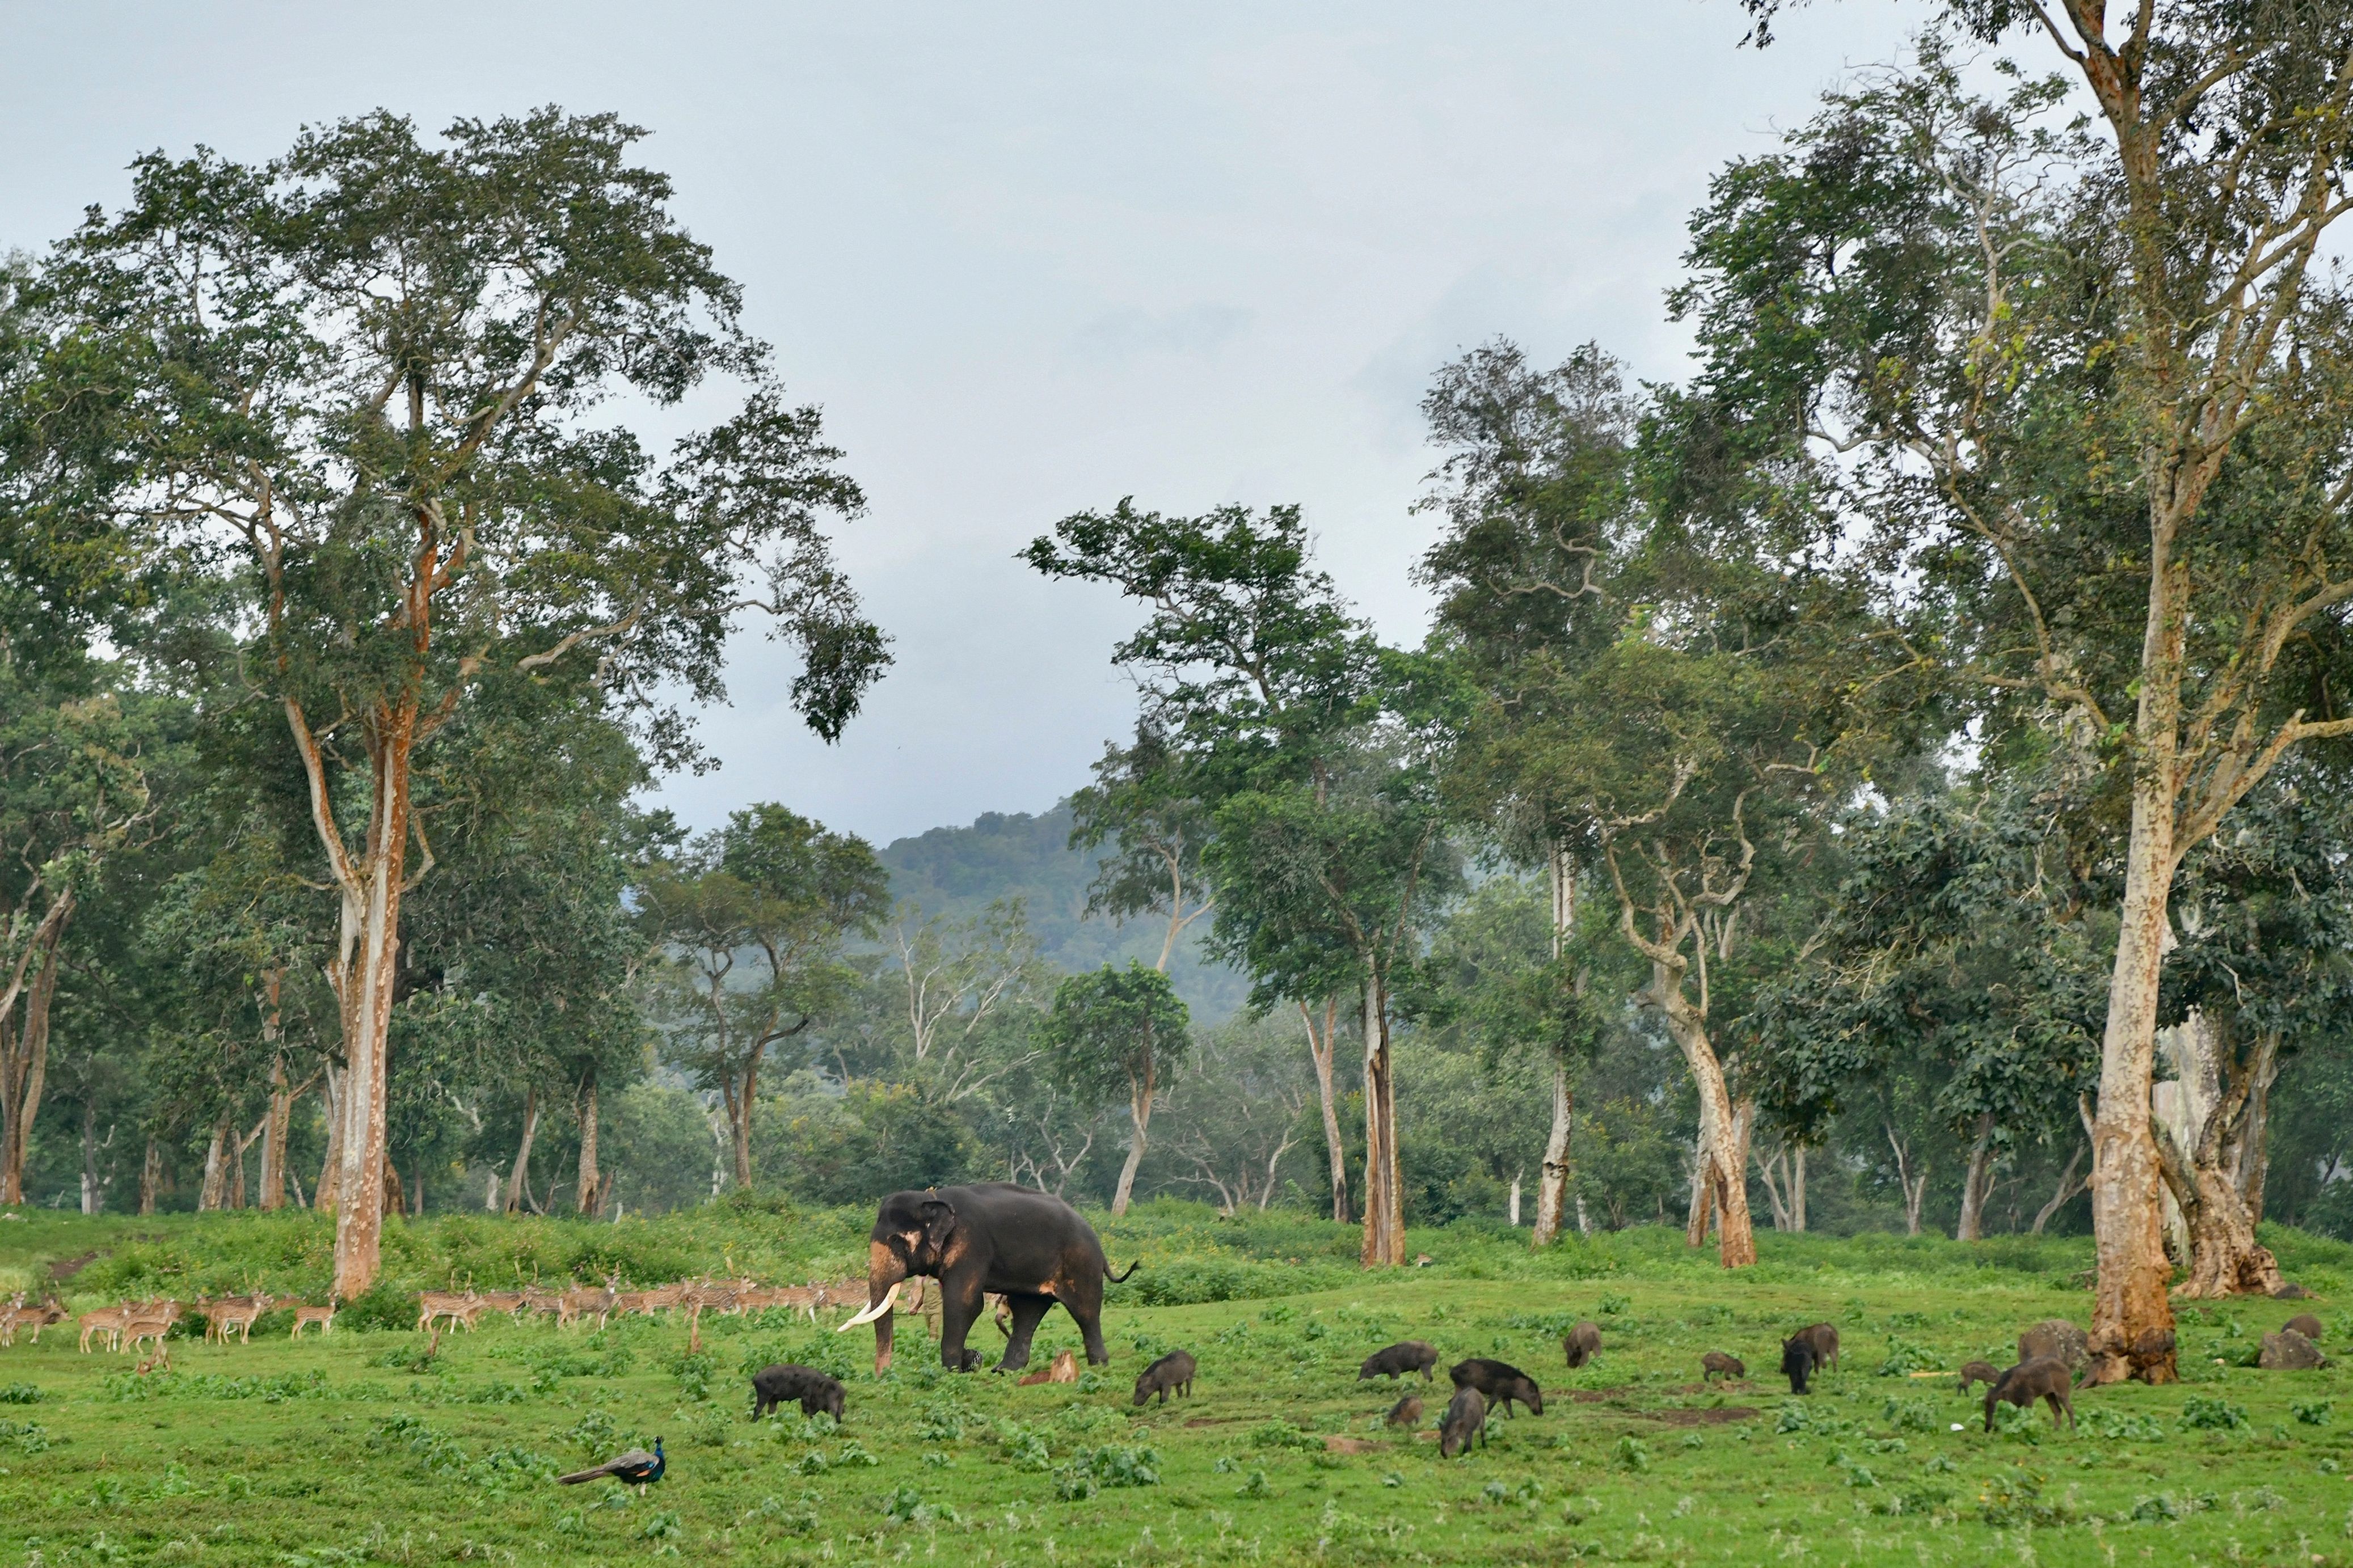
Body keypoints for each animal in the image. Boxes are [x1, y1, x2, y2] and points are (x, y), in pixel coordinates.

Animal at [837, 1183, 1138, 1375]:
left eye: (897, 1242)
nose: (884, 1375)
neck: (933, 1198)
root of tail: (1098, 1242)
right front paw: (968, 1362)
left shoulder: (972, 1244)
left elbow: (964, 1303)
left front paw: (953, 1370)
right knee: (1027, 1311)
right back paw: (1005, 1371)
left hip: (1081, 1264)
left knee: (1085, 1310)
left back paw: (1099, 1367)